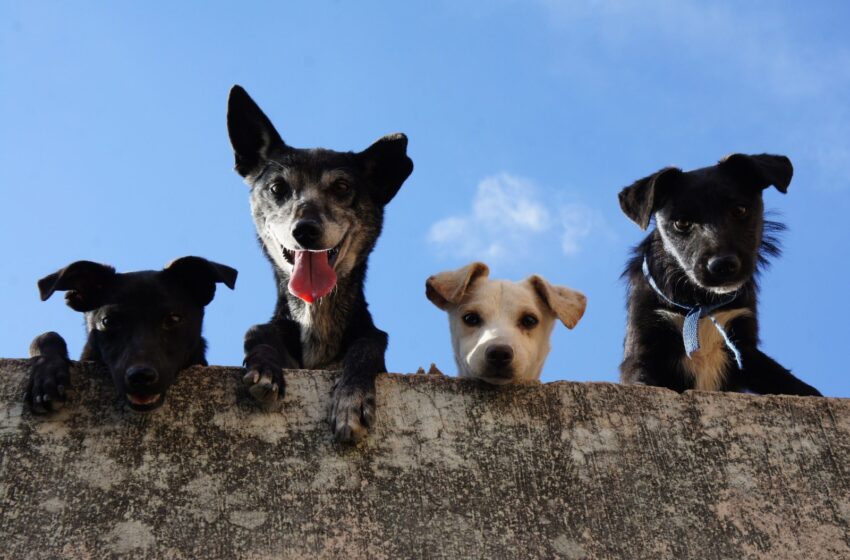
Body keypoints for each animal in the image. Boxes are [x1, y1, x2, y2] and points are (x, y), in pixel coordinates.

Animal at [224, 84, 412, 442]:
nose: (305, 230)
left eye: (342, 187)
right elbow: (256, 332)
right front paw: (265, 369)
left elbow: (367, 345)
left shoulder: (370, 341)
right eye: (277, 187)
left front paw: (351, 400)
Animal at [620, 153, 820, 396]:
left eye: (740, 210)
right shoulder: (644, 346)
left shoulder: (744, 347)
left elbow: (790, 382)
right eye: (681, 223)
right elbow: (642, 380)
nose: (723, 265)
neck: (701, 304)